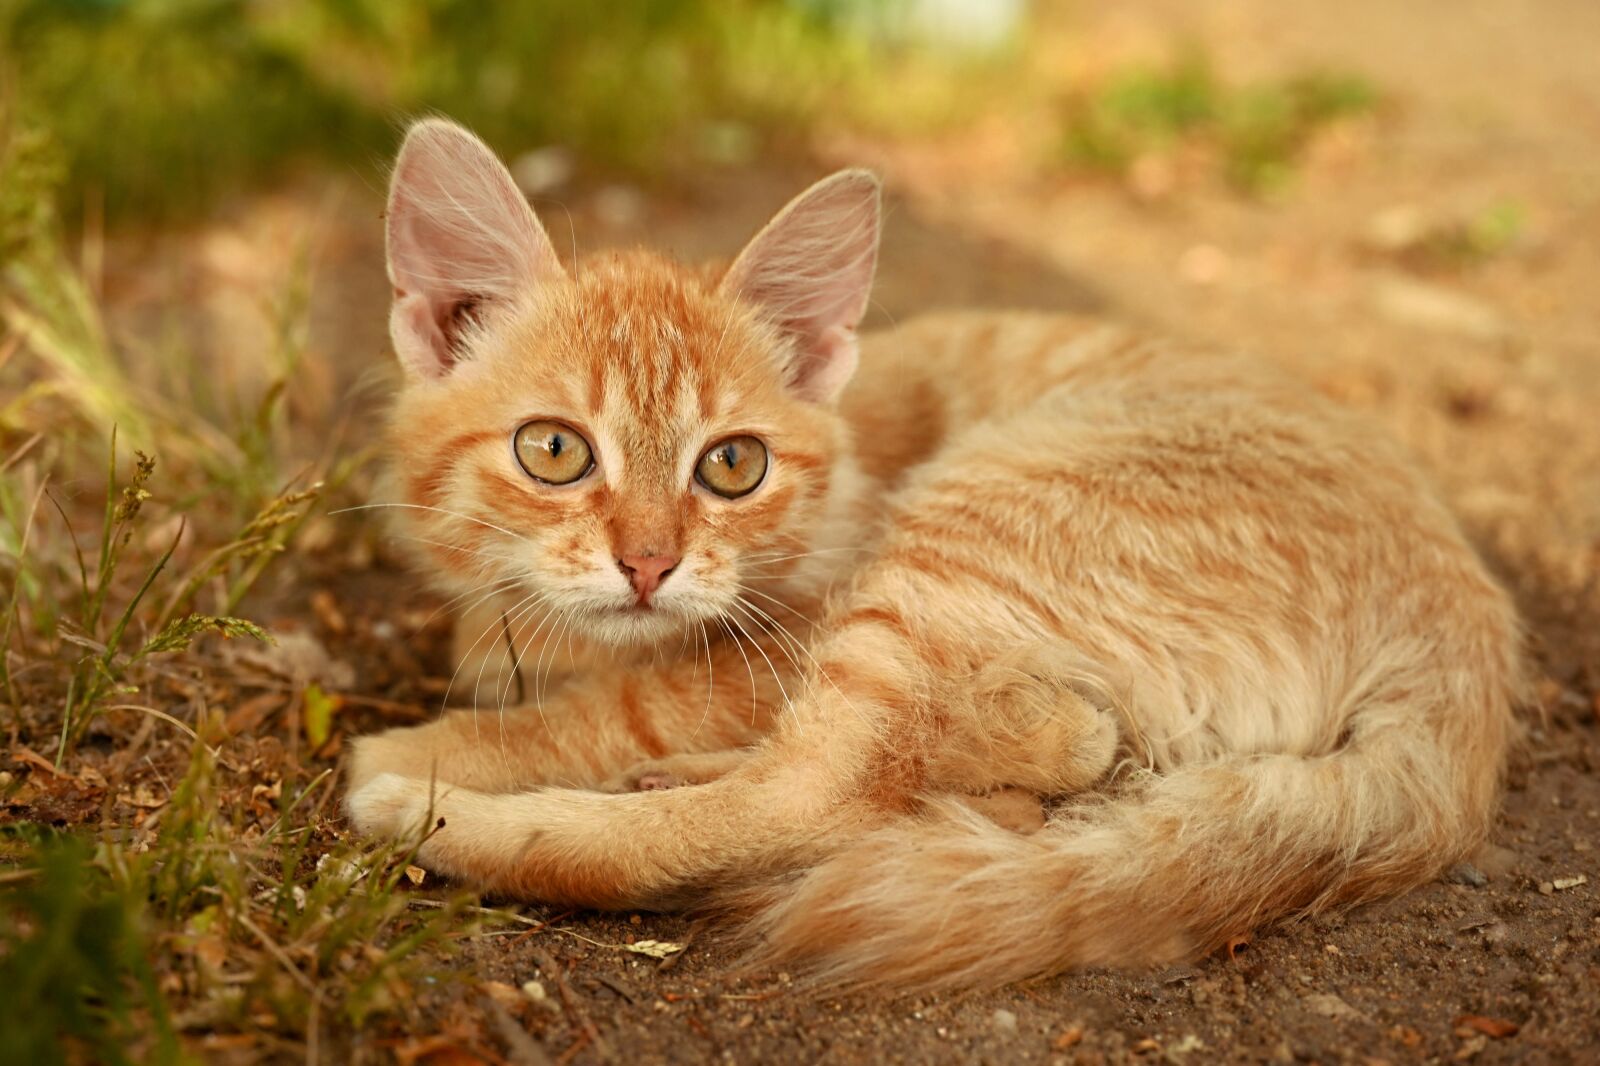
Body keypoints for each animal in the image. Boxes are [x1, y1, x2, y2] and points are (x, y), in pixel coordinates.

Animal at [350, 118, 1523, 985]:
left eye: (731, 465)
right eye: (553, 450)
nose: (648, 564)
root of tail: (1465, 653)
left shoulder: (785, 635)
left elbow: (624, 703)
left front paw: (442, 749)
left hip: (961, 543)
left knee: (817, 794)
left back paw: (428, 811)